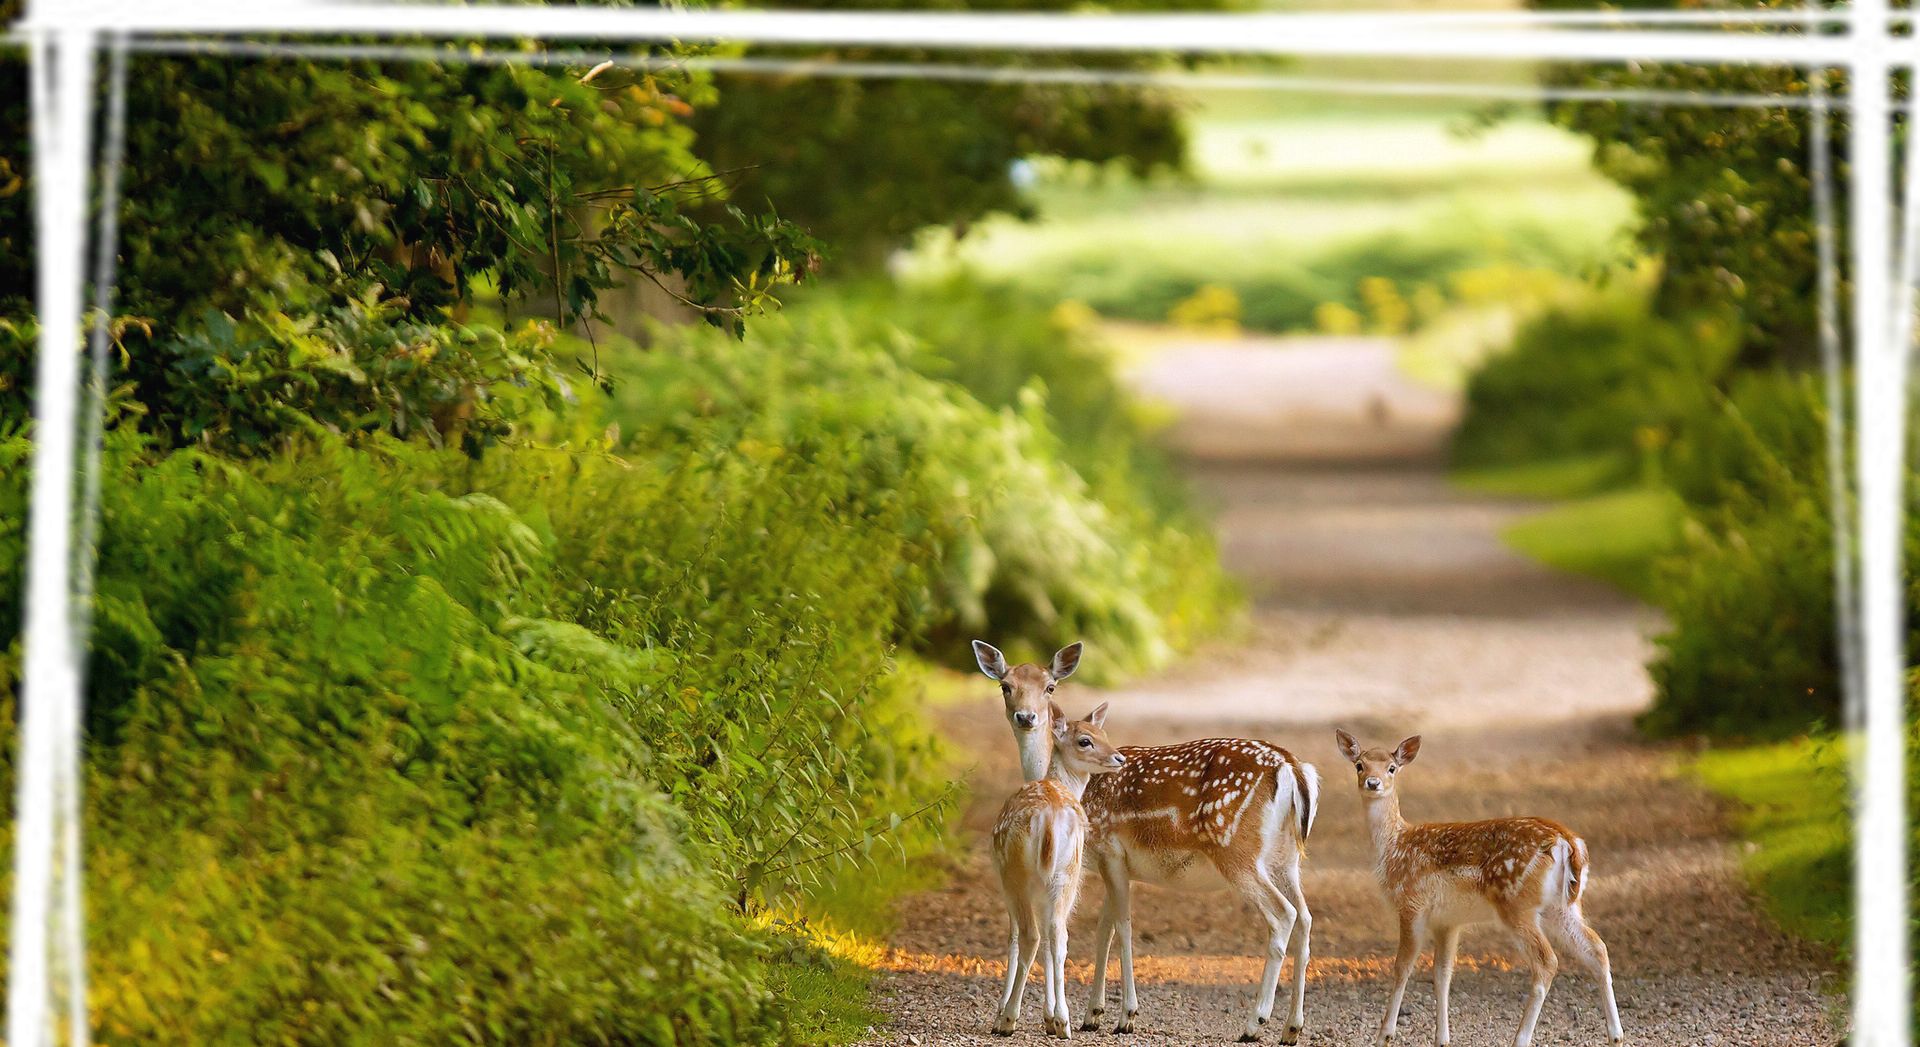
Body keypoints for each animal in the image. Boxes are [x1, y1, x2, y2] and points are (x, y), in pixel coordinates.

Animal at [991, 700, 1128, 1038]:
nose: (1119, 758)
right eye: (1086, 740)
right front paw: (1050, 1017)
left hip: (1018, 873)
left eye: (1104, 733)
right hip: (1067, 873)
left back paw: (1009, 1019)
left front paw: (1008, 1014)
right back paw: (1064, 1021)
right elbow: (1053, 940)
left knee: (1031, 935)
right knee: (1058, 935)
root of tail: (1049, 819)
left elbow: (1015, 938)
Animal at [1333, 730, 1624, 1047]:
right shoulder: (1448, 921)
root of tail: (1568, 843)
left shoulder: (1411, 904)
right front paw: (1442, 1038)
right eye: (1359, 765)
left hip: (1516, 903)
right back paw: (1616, 1035)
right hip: (1563, 906)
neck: (1393, 846)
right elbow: (1442, 973)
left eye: (1392, 768)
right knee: (1597, 949)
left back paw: (1520, 1039)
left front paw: (1384, 1034)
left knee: (1547, 962)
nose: (1373, 783)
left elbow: (1402, 967)